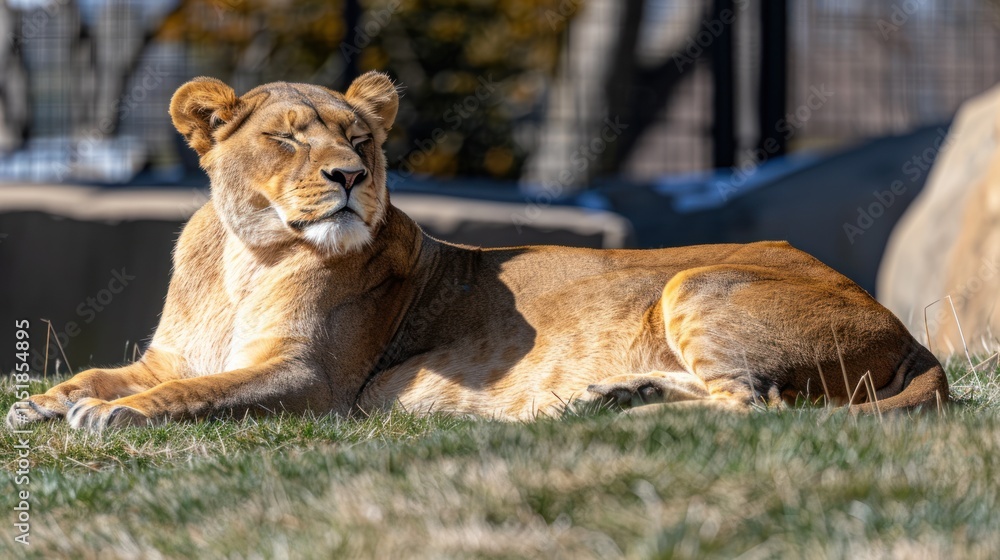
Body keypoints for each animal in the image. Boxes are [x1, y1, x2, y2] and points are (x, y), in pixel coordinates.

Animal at [6, 72, 949, 431]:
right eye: (289, 137)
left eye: (359, 137)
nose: (350, 176)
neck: (249, 258)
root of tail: (903, 328)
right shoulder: (166, 354)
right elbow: (104, 373)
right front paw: (41, 403)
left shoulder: (312, 380)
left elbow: (197, 393)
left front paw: (111, 416)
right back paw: (614, 396)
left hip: (696, 280)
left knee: (757, 407)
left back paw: (624, 417)